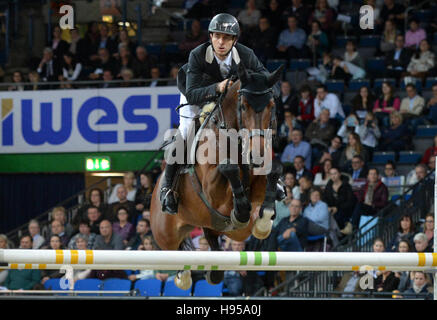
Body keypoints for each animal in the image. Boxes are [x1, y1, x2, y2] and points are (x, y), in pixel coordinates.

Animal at [150, 63, 284, 290]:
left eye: (271, 105)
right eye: (243, 106)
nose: (256, 155)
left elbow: (273, 171)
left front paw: (263, 222)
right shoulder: (214, 192)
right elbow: (228, 169)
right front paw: (240, 209)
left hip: (220, 229)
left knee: (211, 242)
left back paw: (212, 271)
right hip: (165, 234)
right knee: (175, 251)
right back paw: (182, 276)